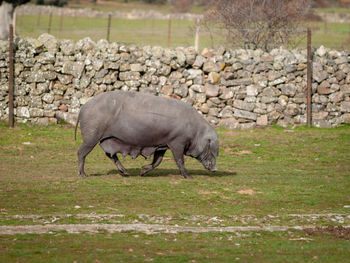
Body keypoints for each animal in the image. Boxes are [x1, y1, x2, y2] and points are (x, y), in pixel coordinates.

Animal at [74, 91, 219, 179]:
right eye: (212, 150)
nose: (215, 169)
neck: (196, 131)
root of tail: (83, 108)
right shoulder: (177, 141)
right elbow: (179, 160)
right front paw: (189, 177)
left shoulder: (163, 144)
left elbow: (158, 161)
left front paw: (142, 172)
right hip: (91, 136)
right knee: (81, 152)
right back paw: (83, 175)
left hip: (107, 139)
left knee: (110, 154)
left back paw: (126, 173)